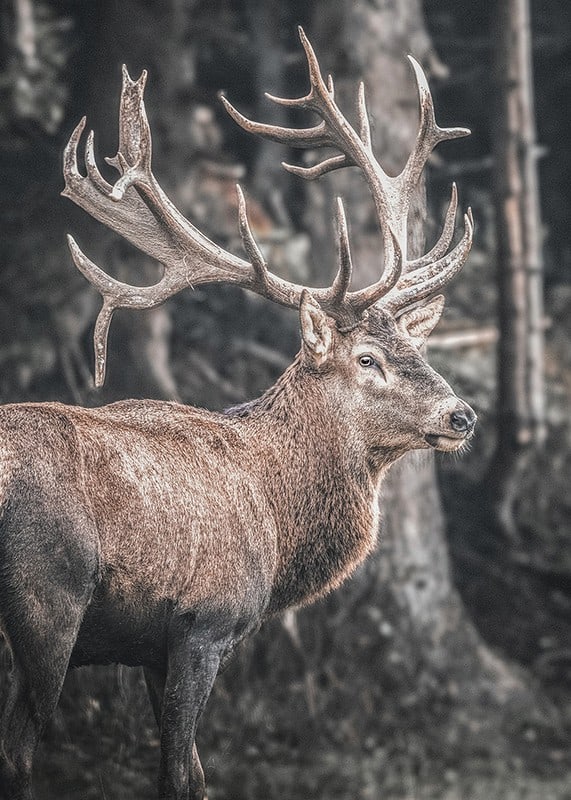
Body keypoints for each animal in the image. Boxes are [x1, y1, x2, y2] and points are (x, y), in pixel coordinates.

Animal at [0, 28, 476, 800]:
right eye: (366, 359)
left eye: (414, 345)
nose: (462, 416)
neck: (278, 524)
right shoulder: (203, 623)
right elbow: (181, 771)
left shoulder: (149, 649)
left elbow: (190, 768)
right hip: (47, 599)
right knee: (18, 750)